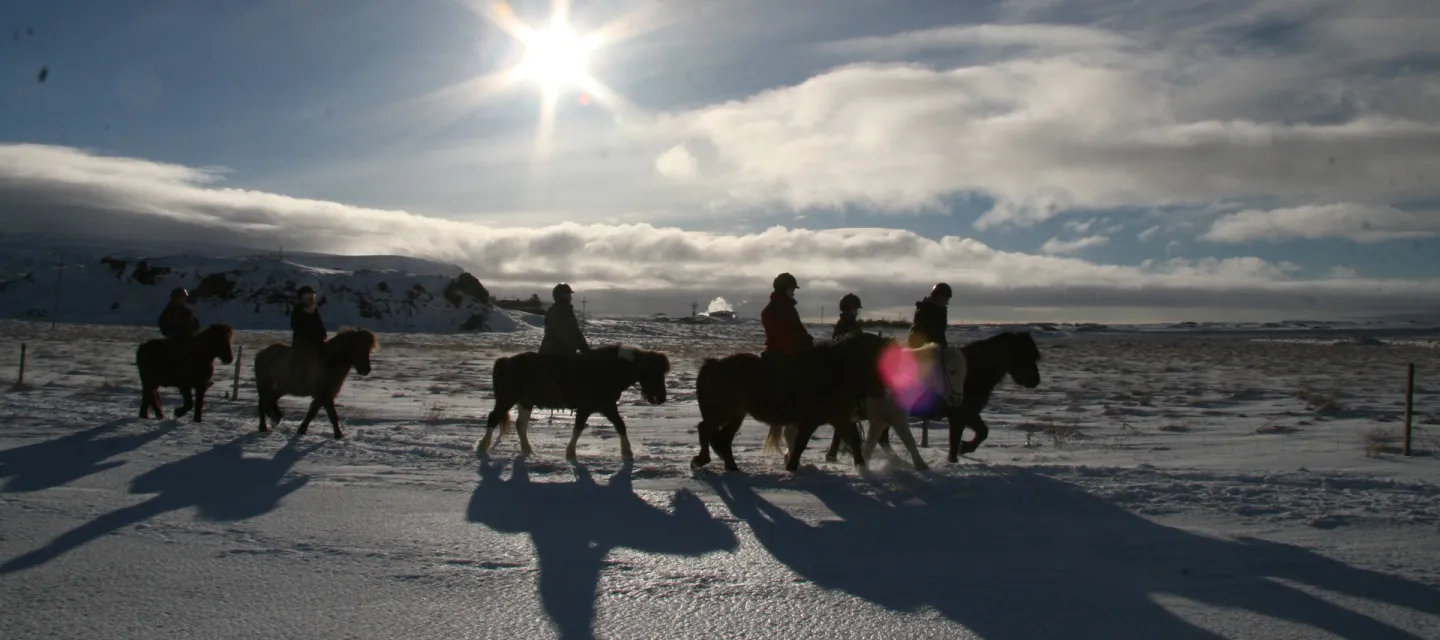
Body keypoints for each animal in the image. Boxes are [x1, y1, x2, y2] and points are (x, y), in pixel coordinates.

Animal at [475, 343, 671, 461]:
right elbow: (581, 428)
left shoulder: (604, 407)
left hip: (525, 402)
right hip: (507, 399)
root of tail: (505, 361)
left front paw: (627, 453)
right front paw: (570, 453)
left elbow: (619, 425)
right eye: (654, 373)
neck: (607, 370)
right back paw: (483, 446)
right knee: (494, 417)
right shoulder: (594, 407)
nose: (661, 398)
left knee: (520, 424)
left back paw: (527, 450)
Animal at [688, 330, 887, 475]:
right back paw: (701, 460)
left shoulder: (840, 418)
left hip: (737, 414)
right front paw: (791, 468)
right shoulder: (809, 422)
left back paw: (731, 466)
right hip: (724, 411)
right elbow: (800, 445)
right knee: (705, 428)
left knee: (724, 437)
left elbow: (853, 440)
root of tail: (714, 364)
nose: (881, 391)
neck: (833, 371)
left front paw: (863, 468)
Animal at [777, 340, 967, 469]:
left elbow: (871, 442)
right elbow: (909, 440)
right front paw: (921, 465)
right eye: (952, 371)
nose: (959, 400)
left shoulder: (880, 421)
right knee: (792, 432)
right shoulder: (897, 418)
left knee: (790, 432)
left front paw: (864, 464)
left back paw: (790, 456)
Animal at [829, 330, 1042, 464]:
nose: (1035, 381)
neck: (973, 373)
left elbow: (981, 432)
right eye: (1024, 354)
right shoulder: (961, 415)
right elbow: (966, 437)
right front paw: (960, 453)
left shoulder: (967, 414)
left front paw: (964, 449)